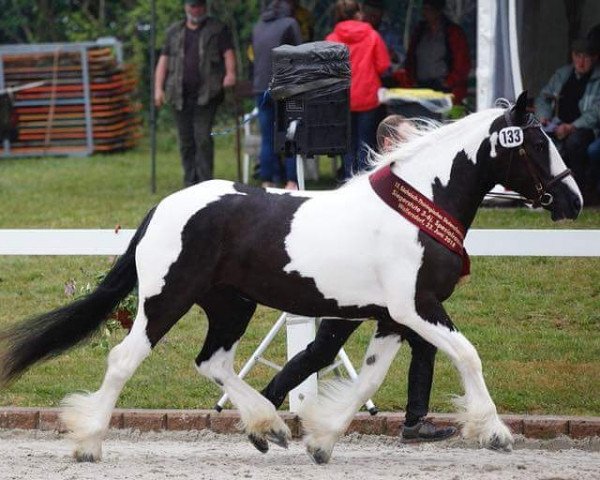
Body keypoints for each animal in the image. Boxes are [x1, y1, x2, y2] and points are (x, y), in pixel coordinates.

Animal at [0, 92, 580, 464]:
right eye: (534, 144)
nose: (572, 200)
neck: (419, 206)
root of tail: (162, 207)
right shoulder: (416, 307)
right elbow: (467, 355)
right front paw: (496, 433)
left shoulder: (391, 317)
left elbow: (368, 379)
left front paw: (321, 441)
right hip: (167, 300)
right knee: (124, 360)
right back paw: (88, 443)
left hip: (231, 305)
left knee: (213, 362)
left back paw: (271, 427)